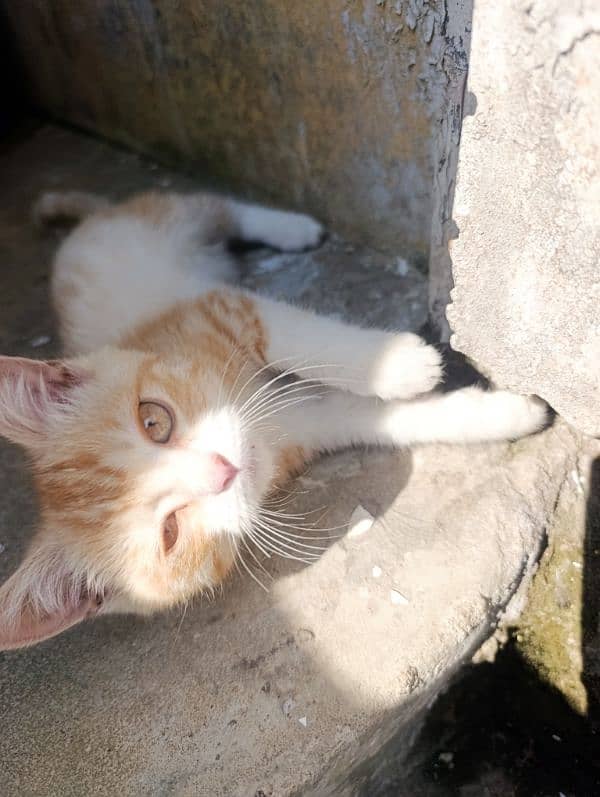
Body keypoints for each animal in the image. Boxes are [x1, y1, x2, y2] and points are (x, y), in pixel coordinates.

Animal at [0, 190, 548, 648]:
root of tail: (84, 229)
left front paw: (399, 364)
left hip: (165, 222)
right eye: (170, 532)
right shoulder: (318, 421)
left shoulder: (217, 308)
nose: (225, 469)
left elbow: (303, 338)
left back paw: (291, 227)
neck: (265, 426)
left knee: (212, 204)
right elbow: (388, 420)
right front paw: (504, 414)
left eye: (153, 420)